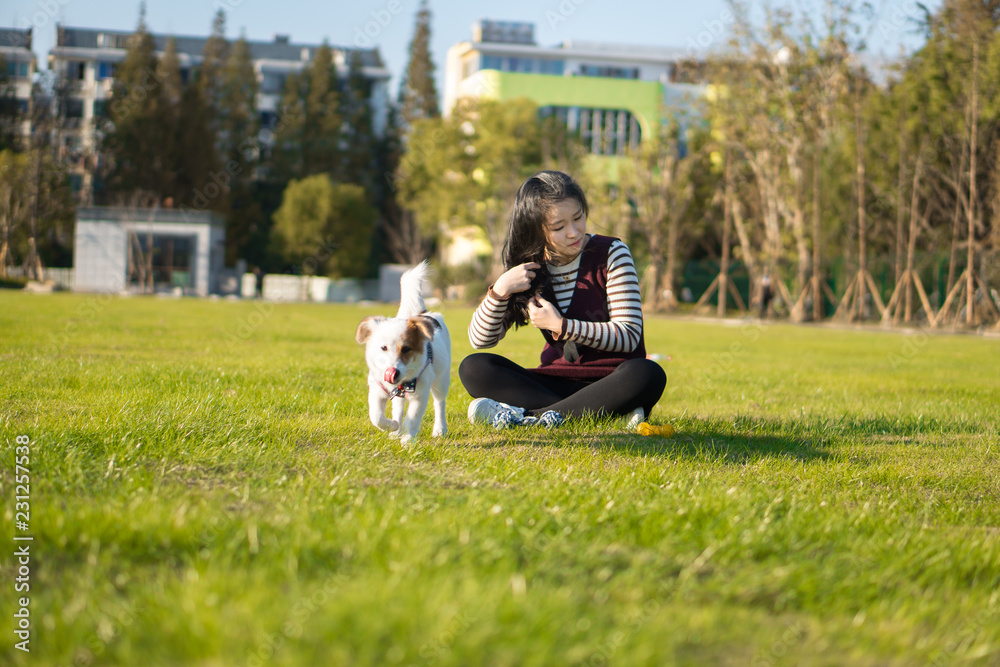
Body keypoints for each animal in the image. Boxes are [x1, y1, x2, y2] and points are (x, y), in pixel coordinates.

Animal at [354, 260, 452, 444]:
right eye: (383, 348)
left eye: (406, 349)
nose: (394, 372)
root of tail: (421, 313)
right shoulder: (377, 390)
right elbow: (376, 416)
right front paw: (392, 426)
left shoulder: (420, 393)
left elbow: (413, 418)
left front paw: (407, 440)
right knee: (398, 408)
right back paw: (396, 429)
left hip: (441, 380)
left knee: (439, 404)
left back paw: (440, 429)